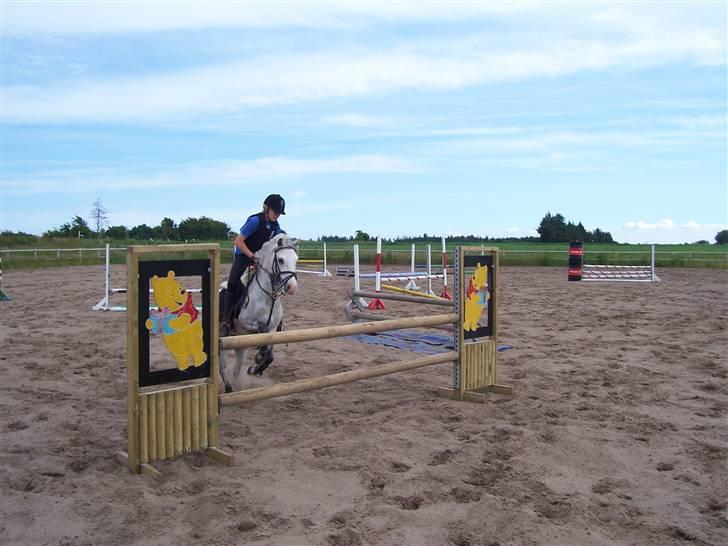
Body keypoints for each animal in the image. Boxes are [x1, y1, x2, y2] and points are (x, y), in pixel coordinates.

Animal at [222, 232, 302, 388]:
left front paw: (255, 368)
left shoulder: (272, 329)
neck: (268, 297)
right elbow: (259, 333)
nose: (292, 287)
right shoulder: (245, 324)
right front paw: (258, 358)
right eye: (280, 260)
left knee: (237, 365)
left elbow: (270, 355)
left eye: (296, 259)